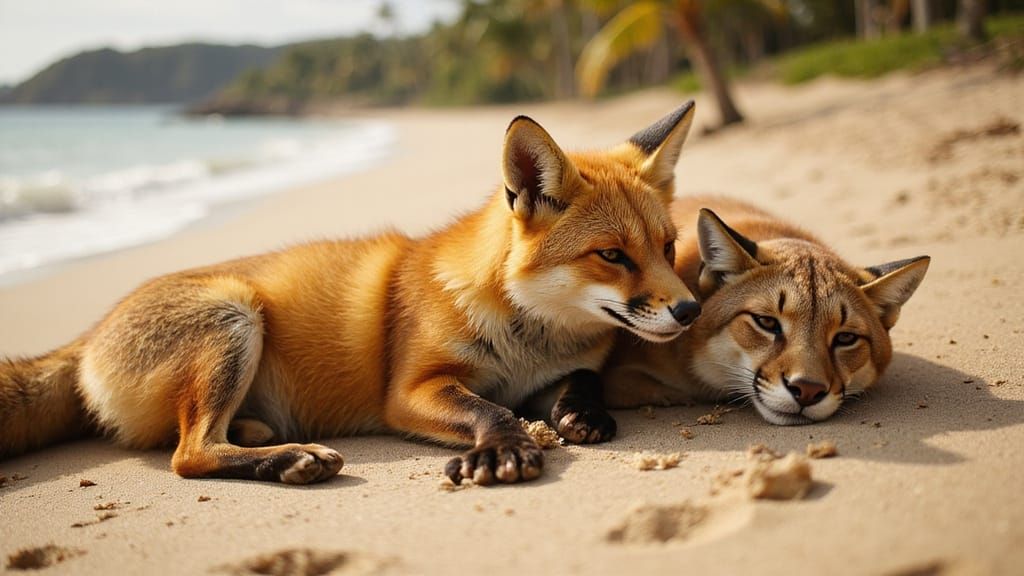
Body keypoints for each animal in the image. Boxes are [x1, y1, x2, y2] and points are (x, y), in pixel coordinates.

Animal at [0, 102, 703, 485]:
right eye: (612, 256)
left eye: (668, 248)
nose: (691, 309)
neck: (528, 334)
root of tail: (86, 336)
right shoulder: (409, 391)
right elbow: (491, 410)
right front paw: (502, 449)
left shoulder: (556, 371)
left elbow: (582, 380)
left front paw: (581, 413)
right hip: (236, 316)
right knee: (188, 455)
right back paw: (287, 459)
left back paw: (262, 439)